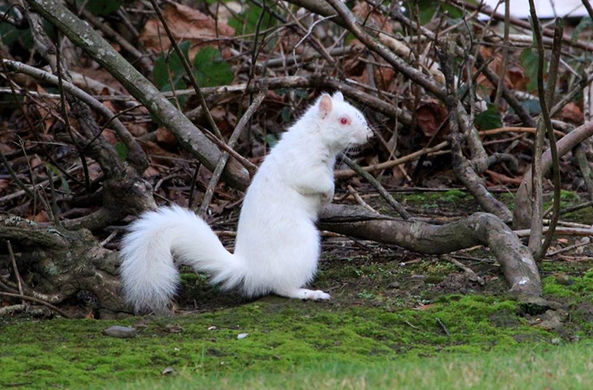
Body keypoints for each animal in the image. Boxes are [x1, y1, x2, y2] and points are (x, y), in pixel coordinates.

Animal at [120, 91, 370, 314]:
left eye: (358, 113)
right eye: (343, 120)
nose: (369, 136)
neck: (314, 135)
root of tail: (251, 270)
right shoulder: (302, 165)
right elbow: (315, 181)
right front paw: (329, 192)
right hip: (303, 245)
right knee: (281, 287)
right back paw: (308, 293)